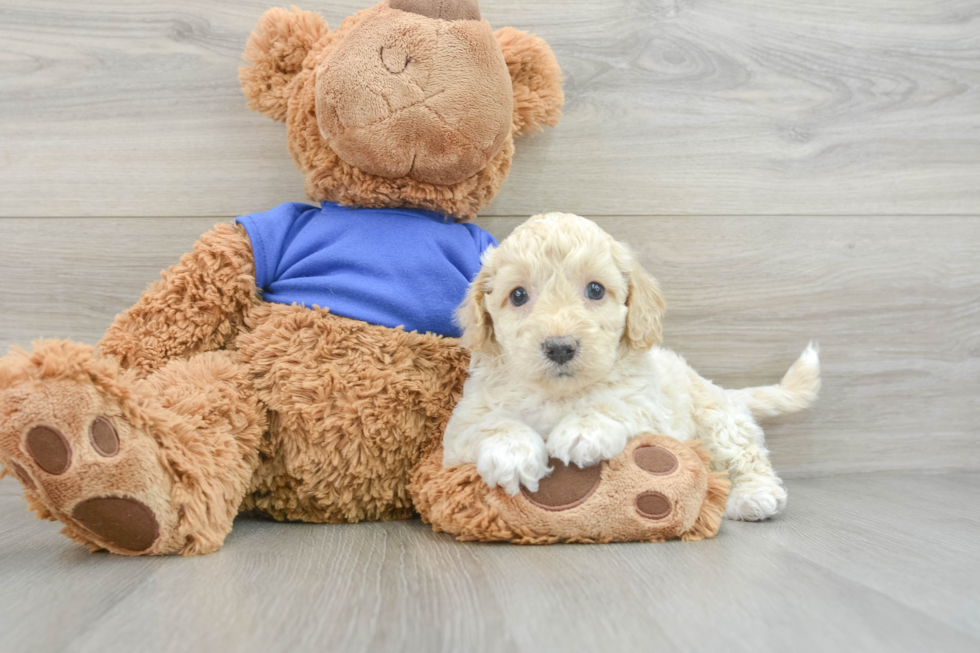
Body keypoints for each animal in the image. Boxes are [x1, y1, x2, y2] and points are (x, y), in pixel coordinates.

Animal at [442, 213, 820, 520]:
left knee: (746, 456)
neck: (560, 394)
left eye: (596, 290)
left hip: (718, 421)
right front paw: (511, 452)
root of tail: (720, 390)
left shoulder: (649, 409)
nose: (560, 347)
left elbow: (615, 405)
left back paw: (755, 495)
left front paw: (584, 430)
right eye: (518, 295)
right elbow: (488, 425)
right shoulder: (461, 426)